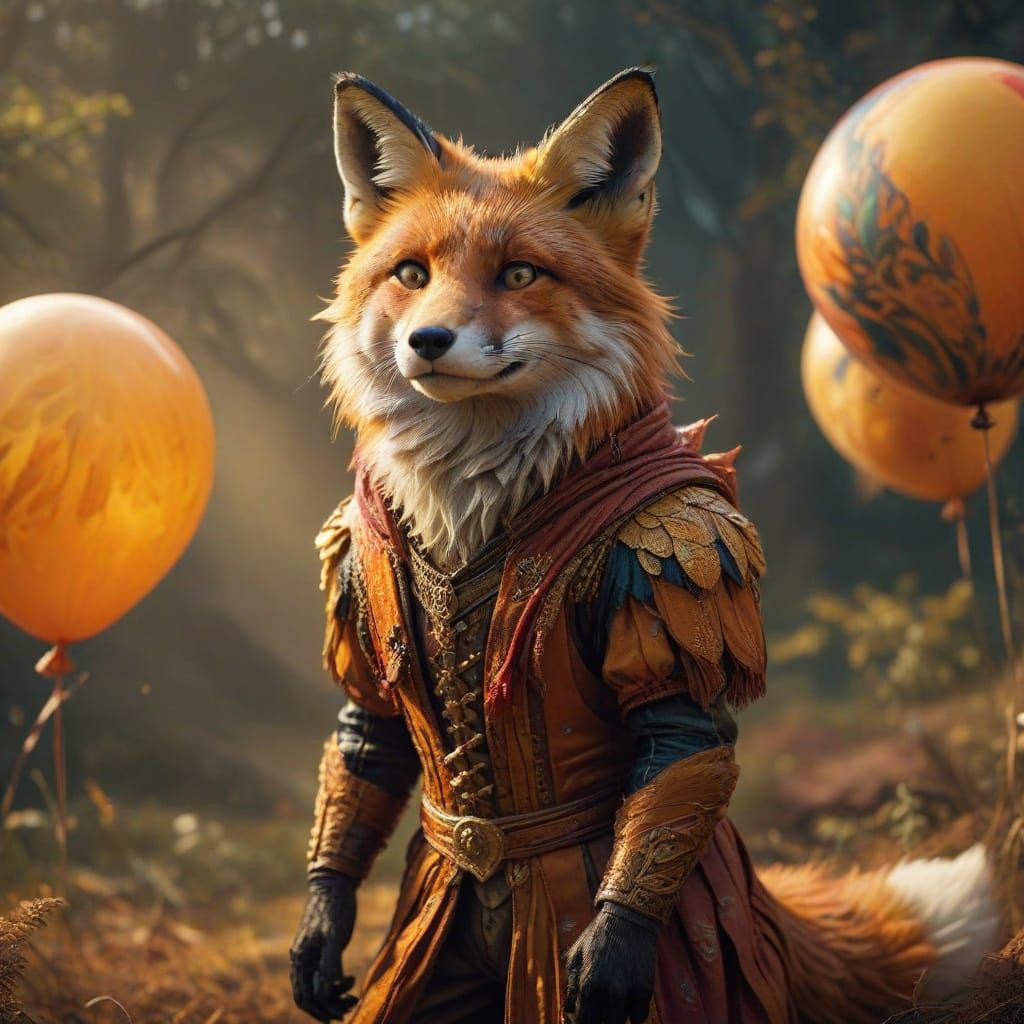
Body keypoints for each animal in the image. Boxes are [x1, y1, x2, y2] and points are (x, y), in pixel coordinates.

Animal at [294, 68, 1002, 1024]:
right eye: (412, 275)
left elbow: (681, 740)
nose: (427, 341)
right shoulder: (358, 583)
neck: (472, 503)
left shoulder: (679, 554)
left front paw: (609, 954)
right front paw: (321, 928)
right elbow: (365, 740)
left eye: (519, 274)